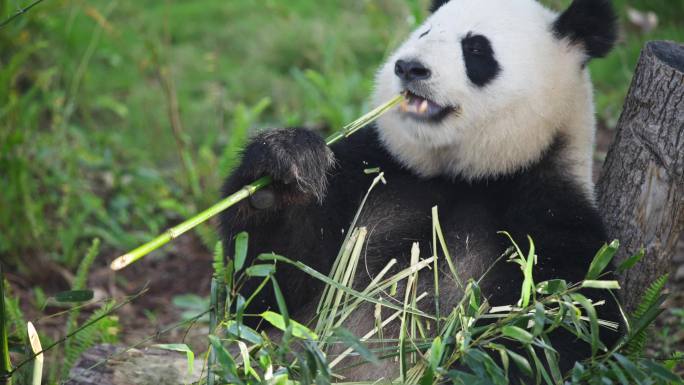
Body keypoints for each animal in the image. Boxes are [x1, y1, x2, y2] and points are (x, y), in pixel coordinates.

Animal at [219, 0, 620, 380]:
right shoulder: (370, 172)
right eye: (425, 32)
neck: (466, 176)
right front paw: (283, 170)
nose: (410, 67)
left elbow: (554, 332)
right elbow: (269, 289)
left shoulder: (552, 219)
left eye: (476, 48)